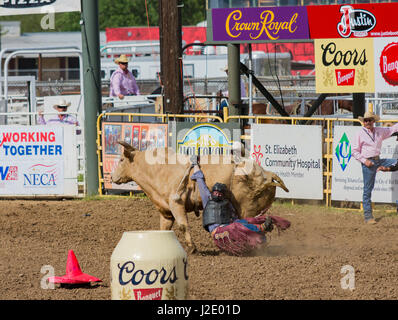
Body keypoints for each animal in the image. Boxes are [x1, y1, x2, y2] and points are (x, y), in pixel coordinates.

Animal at [112, 141, 290, 254]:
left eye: (121, 159)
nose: (112, 177)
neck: (159, 169)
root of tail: (266, 175)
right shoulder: (166, 212)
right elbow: (164, 229)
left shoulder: (176, 203)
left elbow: (183, 225)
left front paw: (192, 248)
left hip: (247, 208)